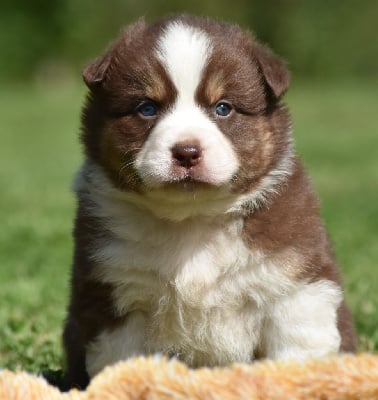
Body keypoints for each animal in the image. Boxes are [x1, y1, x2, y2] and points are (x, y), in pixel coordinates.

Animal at [62, 14, 354, 388]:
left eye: (223, 108)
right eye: (147, 108)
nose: (187, 152)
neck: (193, 220)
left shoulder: (294, 286)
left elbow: (296, 353)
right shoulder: (113, 292)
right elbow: (123, 362)